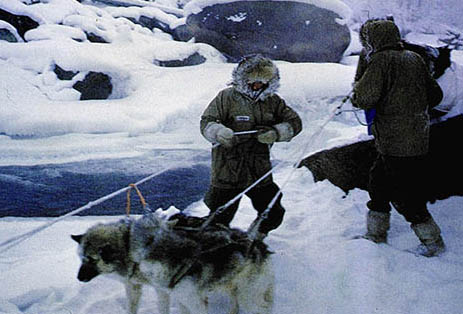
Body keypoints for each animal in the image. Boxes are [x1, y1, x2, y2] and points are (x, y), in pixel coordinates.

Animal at [72, 211, 274, 314]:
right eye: (81, 258)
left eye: (91, 260)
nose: (79, 278)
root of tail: (258, 245)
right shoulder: (136, 287)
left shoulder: (168, 292)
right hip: (233, 288)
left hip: (247, 295)